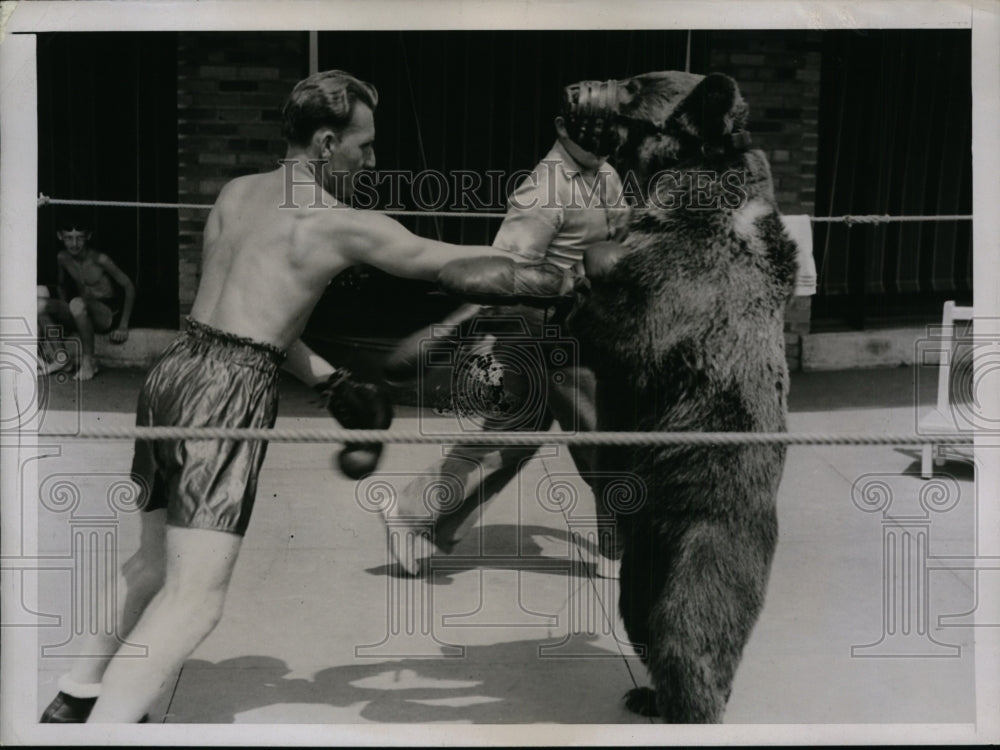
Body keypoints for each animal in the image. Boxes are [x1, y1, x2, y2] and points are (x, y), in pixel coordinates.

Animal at [568, 70, 800, 724]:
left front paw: (579, 284)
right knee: (640, 617)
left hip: (707, 536)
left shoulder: (686, 277)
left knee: (688, 631)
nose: (572, 90)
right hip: (646, 558)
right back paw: (647, 693)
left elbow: (622, 327)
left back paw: (687, 701)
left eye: (631, 88)